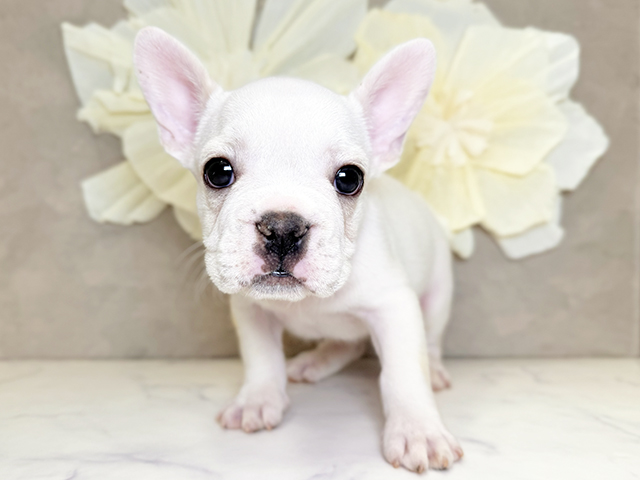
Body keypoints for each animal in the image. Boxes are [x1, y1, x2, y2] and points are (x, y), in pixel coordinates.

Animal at [134, 26, 462, 473]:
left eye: (350, 179)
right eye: (217, 171)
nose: (283, 228)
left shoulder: (393, 307)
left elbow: (403, 374)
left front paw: (417, 431)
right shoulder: (250, 310)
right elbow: (262, 358)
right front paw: (257, 400)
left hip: (438, 293)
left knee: (429, 340)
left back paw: (436, 371)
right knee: (348, 342)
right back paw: (315, 360)